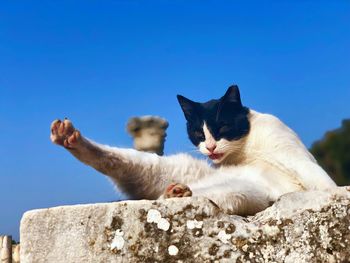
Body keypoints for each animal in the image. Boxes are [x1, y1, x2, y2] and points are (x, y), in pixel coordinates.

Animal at [50, 85, 336, 216]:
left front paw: (333, 193)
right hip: (154, 165)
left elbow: (321, 181)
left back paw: (175, 193)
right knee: (108, 158)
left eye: (221, 128)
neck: (246, 149)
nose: (210, 148)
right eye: (199, 134)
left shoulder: (294, 156)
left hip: (236, 194)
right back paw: (68, 137)